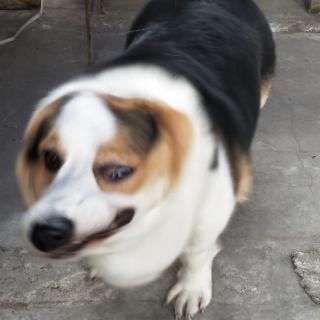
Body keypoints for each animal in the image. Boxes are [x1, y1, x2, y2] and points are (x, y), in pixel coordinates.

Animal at [15, 1, 276, 318]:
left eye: (118, 172)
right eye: (51, 159)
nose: (44, 234)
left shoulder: (210, 209)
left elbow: (196, 253)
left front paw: (191, 288)